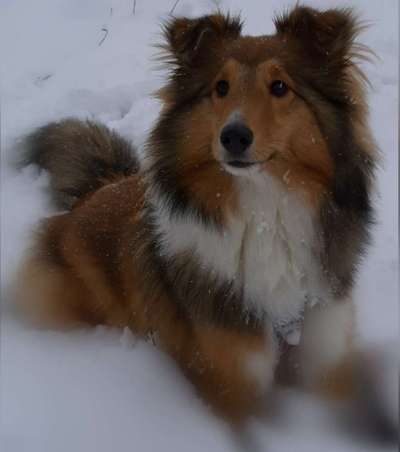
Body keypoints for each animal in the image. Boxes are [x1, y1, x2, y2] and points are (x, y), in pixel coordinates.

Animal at [14, 3, 394, 442]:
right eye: (221, 87)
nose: (234, 137)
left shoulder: (327, 354)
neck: (267, 215)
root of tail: (97, 188)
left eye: (280, 87)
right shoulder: (228, 381)